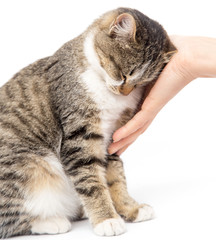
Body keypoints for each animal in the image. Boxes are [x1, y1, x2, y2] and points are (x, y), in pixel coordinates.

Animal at [0, 7, 176, 238]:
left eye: (141, 83)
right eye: (123, 74)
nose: (124, 91)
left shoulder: (113, 137)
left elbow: (116, 177)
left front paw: (130, 208)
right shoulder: (81, 136)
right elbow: (92, 182)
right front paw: (107, 219)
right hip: (29, 164)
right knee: (11, 219)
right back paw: (52, 221)